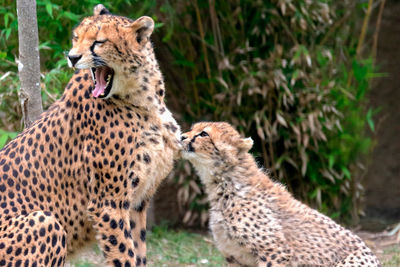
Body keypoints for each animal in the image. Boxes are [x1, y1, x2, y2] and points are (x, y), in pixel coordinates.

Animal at [0, 4, 180, 267]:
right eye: (76, 38)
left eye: (99, 42)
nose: (72, 57)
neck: (145, 100)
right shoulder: (108, 204)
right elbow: (123, 254)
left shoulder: (136, 204)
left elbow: (137, 251)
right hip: (46, 221)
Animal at [181, 123, 382, 267]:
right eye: (192, 128)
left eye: (204, 134)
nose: (182, 136)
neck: (223, 185)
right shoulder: (235, 258)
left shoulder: (274, 251)